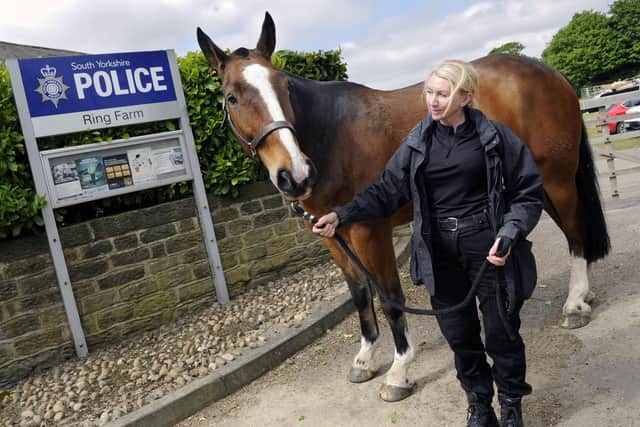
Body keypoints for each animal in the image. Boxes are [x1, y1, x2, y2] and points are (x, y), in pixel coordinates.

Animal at [196, 12, 610, 401]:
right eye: (232, 97)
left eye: (284, 86)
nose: (296, 174)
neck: (332, 136)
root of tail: (549, 72)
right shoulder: (331, 233)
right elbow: (360, 294)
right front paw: (365, 360)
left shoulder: (370, 231)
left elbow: (390, 299)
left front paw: (399, 372)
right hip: (538, 185)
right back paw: (581, 295)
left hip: (556, 180)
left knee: (575, 233)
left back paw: (575, 305)